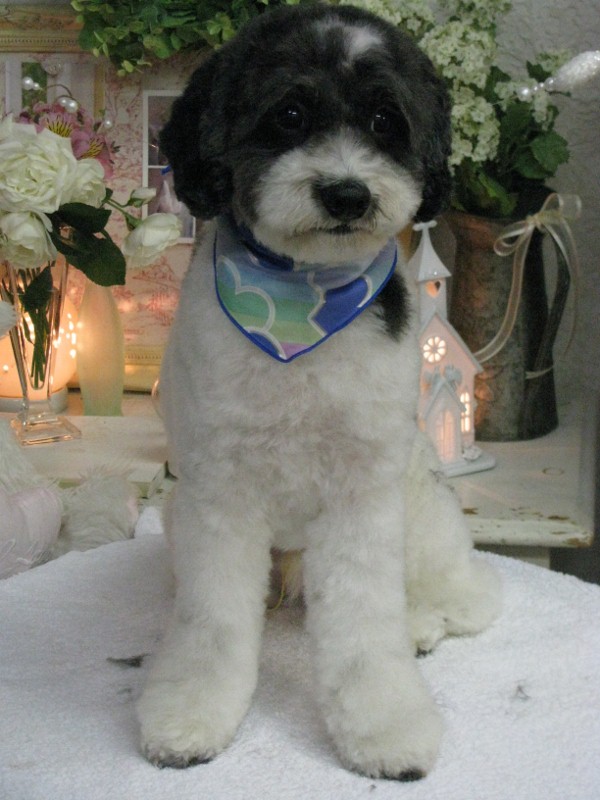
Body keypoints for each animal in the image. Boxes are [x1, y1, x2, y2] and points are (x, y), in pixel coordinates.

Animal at [137, 3, 501, 781]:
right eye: (291, 114)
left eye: (386, 121)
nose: (346, 193)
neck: (301, 295)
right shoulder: (219, 496)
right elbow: (211, 623)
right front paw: (191, 714)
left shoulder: (360, 495)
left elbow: (366, 627)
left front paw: (385, 726)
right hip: (182, 518)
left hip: (418, 505)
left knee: (458, 593)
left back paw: (428, 618)